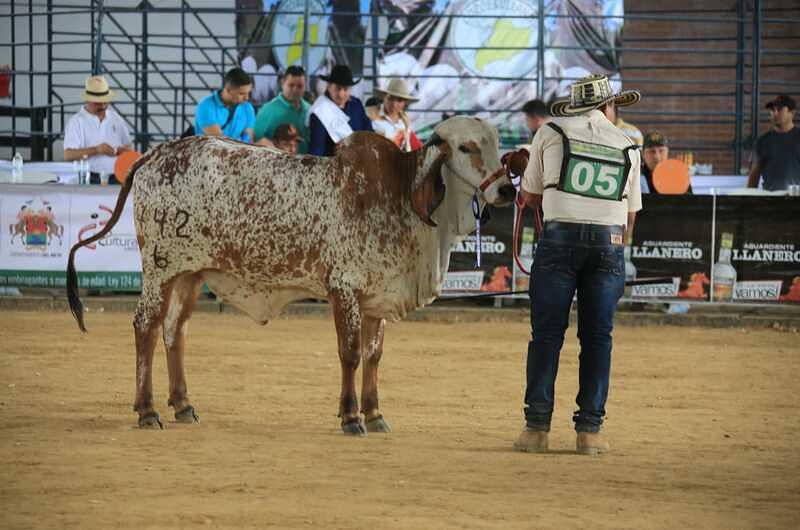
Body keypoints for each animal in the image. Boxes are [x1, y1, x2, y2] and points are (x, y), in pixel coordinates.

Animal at [70, 116, 520, 434]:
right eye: (465, 146)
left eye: (499, 146)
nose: (507, 191)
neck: (399, 193)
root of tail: (156, 153)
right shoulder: (344, 289)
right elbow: (350, 354)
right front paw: (351, 417)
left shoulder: (377, 298)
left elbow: (374, 356)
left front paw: (375, 413)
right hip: (160, 268)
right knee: (145, 327)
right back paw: (147, 409)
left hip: (190, 273)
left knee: (174, 331)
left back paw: (182, 404)